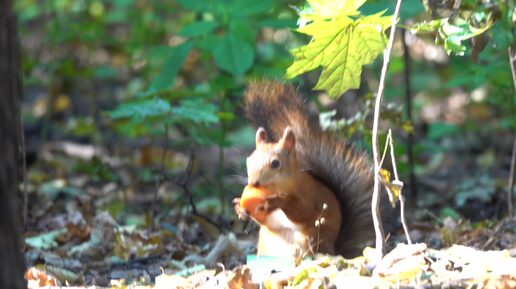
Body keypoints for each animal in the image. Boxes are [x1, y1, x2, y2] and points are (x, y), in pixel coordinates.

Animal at [236, 80, 376, 258]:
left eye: (275, 163)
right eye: (249, 160)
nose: (253, 183)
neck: (278, 187)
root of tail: (335, 250)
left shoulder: (308, 193)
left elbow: (302, 211)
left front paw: (275, 201)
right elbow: (264, 220)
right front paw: (239, 207)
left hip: (310, 239)